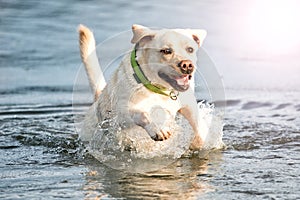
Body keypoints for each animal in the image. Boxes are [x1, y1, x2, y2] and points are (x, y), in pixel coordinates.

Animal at [77, 24, 206, 150]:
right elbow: (143, 113)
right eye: (166, 51)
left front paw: (197, 142)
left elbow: (198, 125)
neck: (159, 89)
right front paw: (157, 129)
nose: (187, 65)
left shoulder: (188, 104)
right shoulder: (122, 113)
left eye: (190, 49)